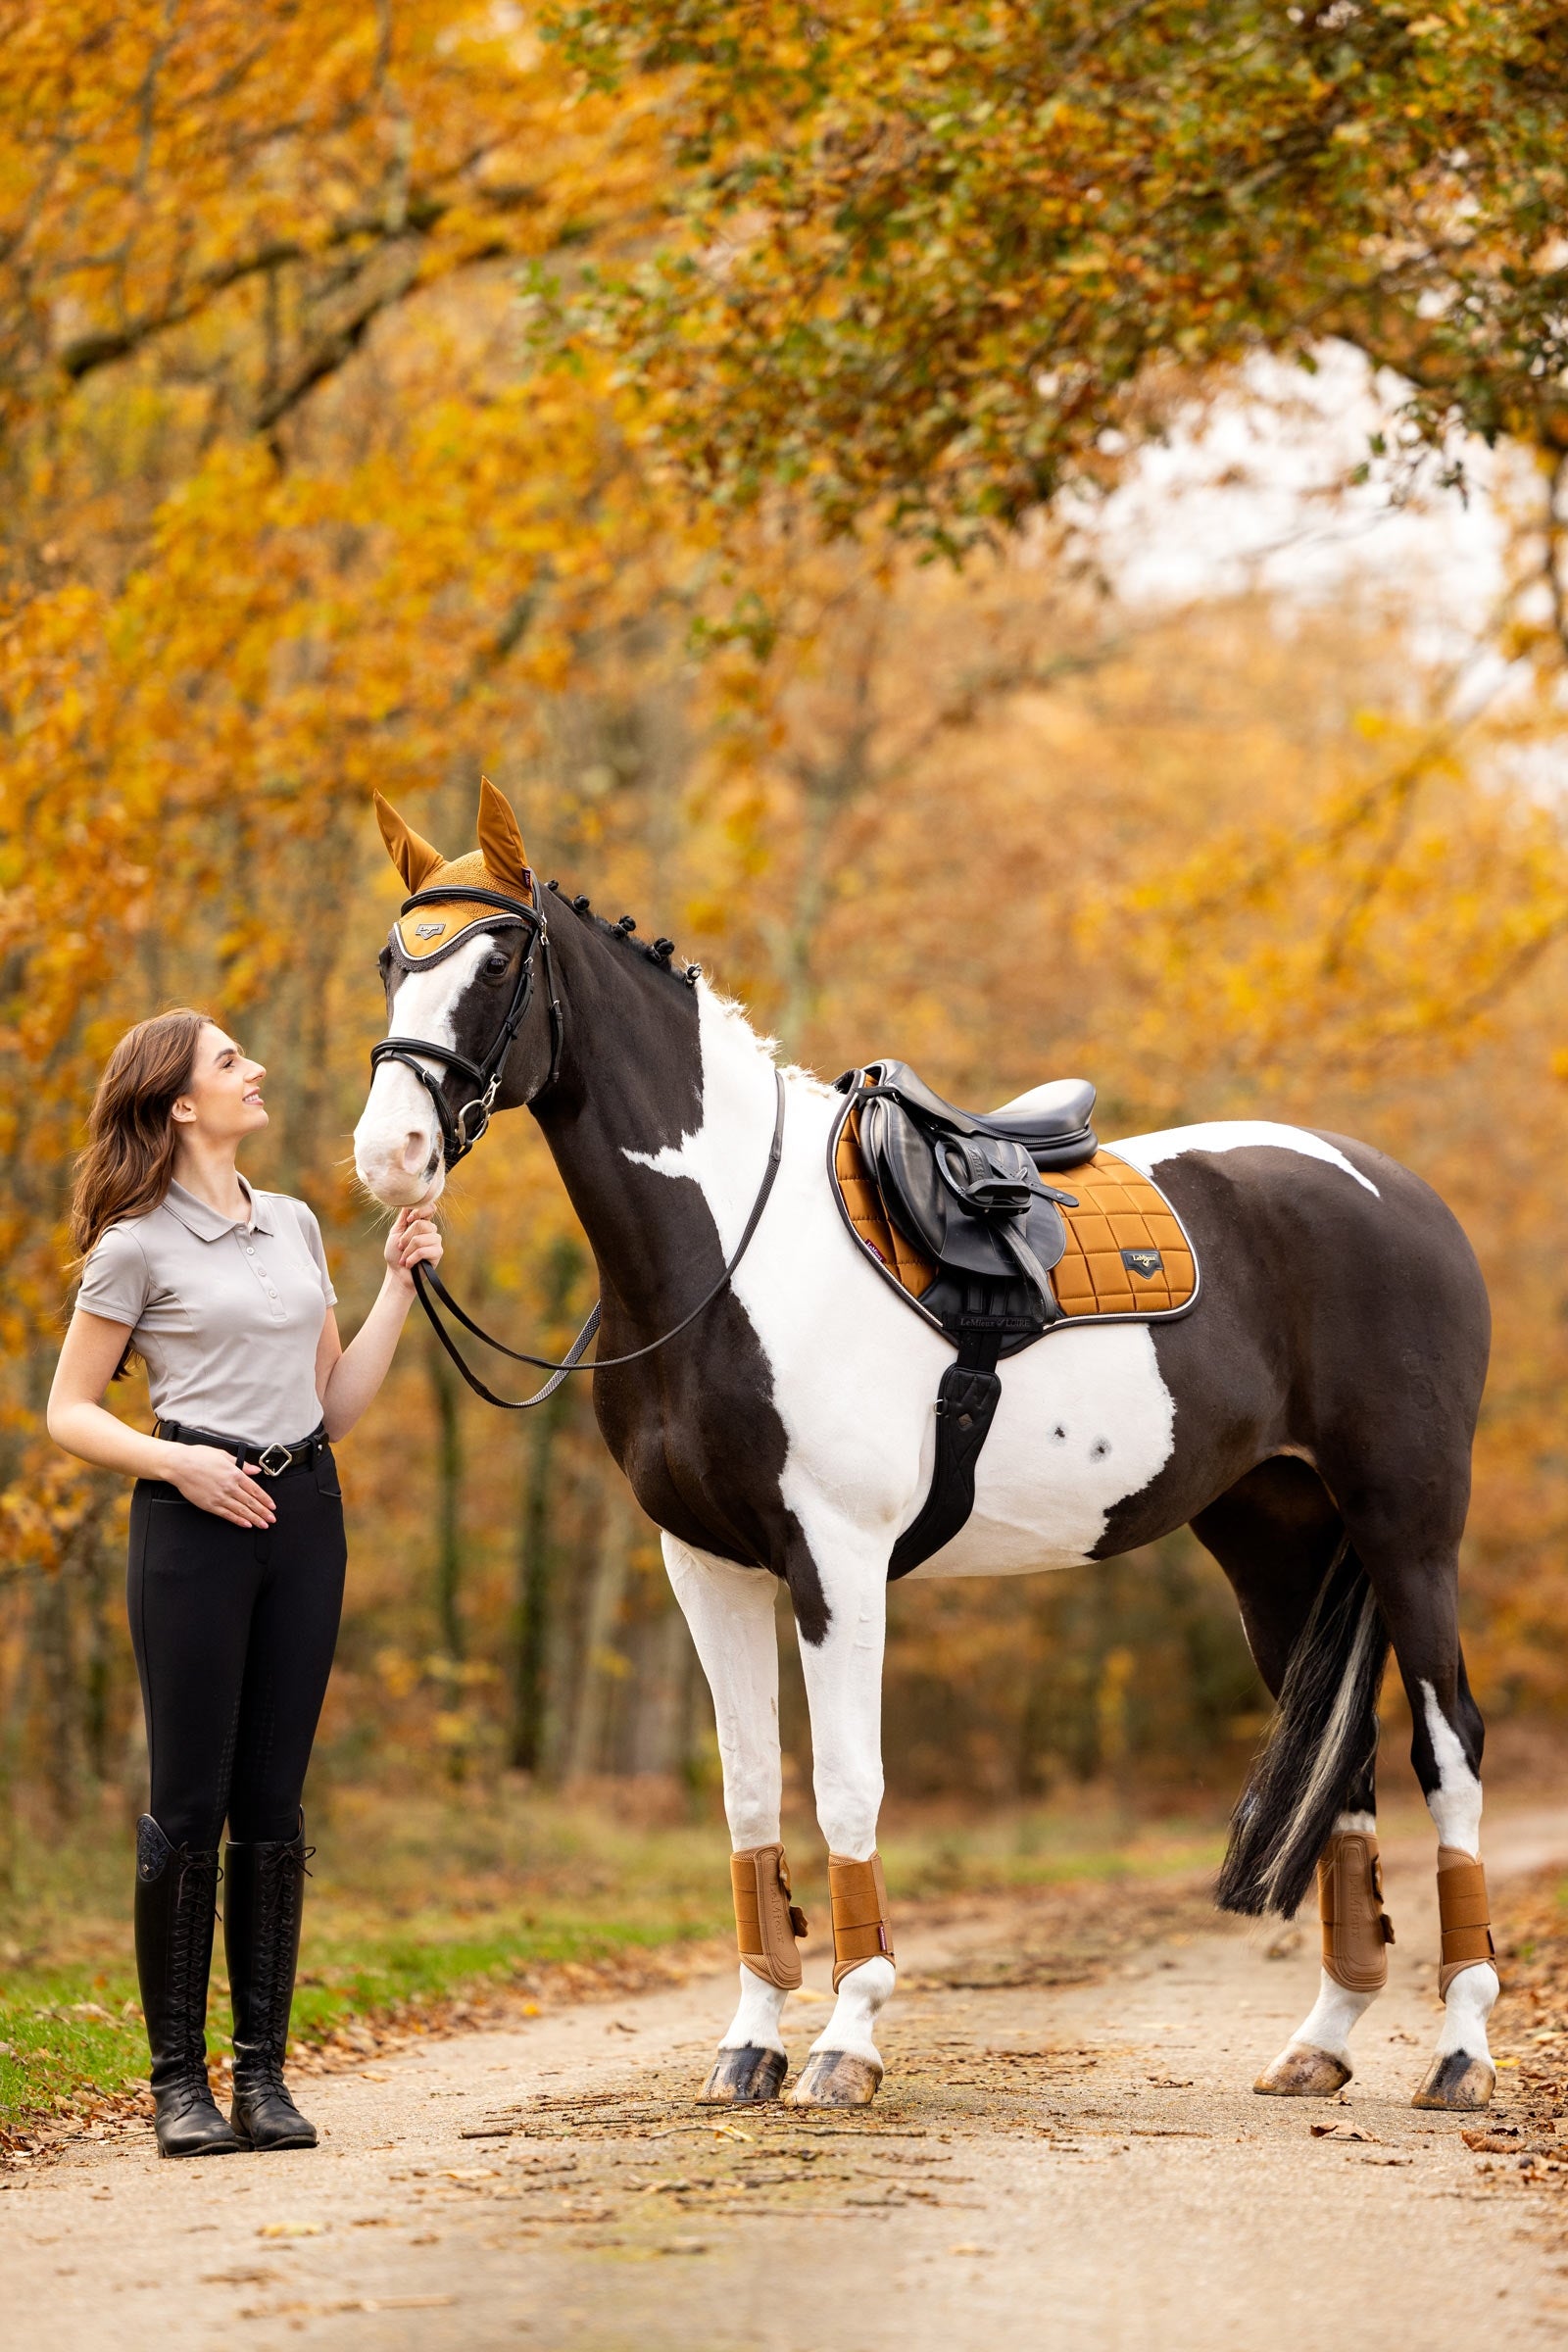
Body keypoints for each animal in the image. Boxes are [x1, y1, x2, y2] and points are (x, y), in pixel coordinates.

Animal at [352, 780, 1498, 2114]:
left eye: (496, 964)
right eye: (392, 960)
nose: (390, 1159)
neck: (732, 1251)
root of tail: (1398, 1194)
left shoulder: (836, 1562)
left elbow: (846, 1785)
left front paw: (845, 2042)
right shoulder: (707, 1565)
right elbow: (751, 1792)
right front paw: (748, 2044)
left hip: (1406, 1530)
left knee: (1448, 1747)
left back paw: (1460, 2053)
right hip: (1275, 1545)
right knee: (1347, 1765)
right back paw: (1322, 2041)